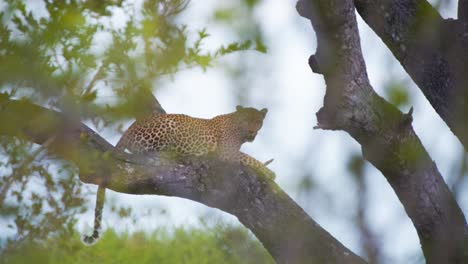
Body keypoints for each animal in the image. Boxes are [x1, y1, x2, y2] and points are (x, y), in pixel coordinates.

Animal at [83, 105, 274, 245]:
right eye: (246, 120)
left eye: (258, 121)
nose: (252, 132)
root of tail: (130, 127)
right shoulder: (227, 154)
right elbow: (248, 158)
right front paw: (269, 172)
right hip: (167, 129)